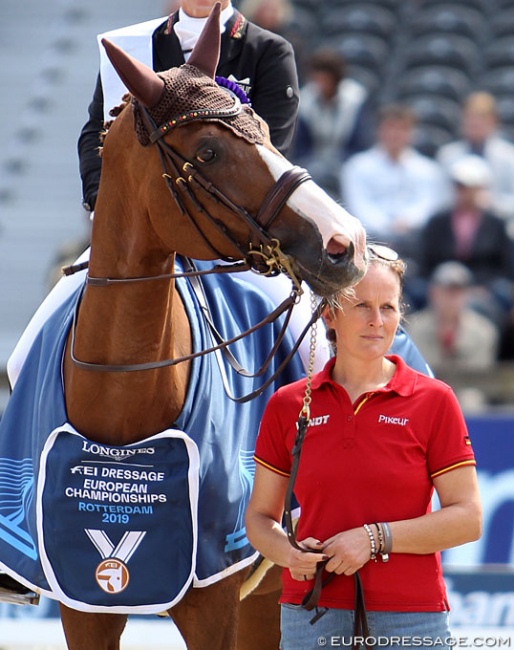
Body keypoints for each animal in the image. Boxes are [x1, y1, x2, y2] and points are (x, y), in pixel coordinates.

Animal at [2, 6, 366, 648]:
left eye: (265, 129)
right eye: (210, 151)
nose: (343, 244)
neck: (122, 399)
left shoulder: (213, 599)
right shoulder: (81, 602)